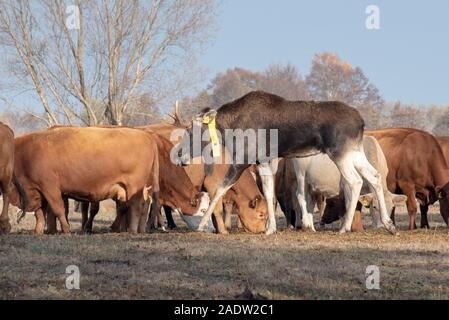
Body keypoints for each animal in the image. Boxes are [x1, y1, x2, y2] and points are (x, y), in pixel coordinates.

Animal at [177, 91, 394, 234]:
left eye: (190, 130)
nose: (179, 154)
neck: (228, 129)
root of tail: (361, 123)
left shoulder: (242, 160)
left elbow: (219, 191)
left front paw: (202, 224)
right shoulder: (263, 161)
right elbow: (269, 193)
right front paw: (270, 228)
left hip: (340, 152)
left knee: (355, 181)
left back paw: (345, 227)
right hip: (354, 152)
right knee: (374, 176)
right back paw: (388, 223)